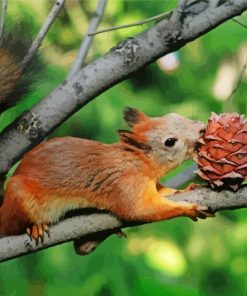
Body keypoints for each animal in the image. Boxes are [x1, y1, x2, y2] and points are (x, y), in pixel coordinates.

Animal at [0, 107, 210, 254]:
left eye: (175, 116)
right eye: (170, 142)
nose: (202, 128)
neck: (136, 161)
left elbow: (164, 192)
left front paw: (185, 190)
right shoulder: (126, 186)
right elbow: (140, 210)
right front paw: (188, 208)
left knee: (81, 248)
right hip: (18, 198)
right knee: (13, 226)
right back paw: (35, 227)